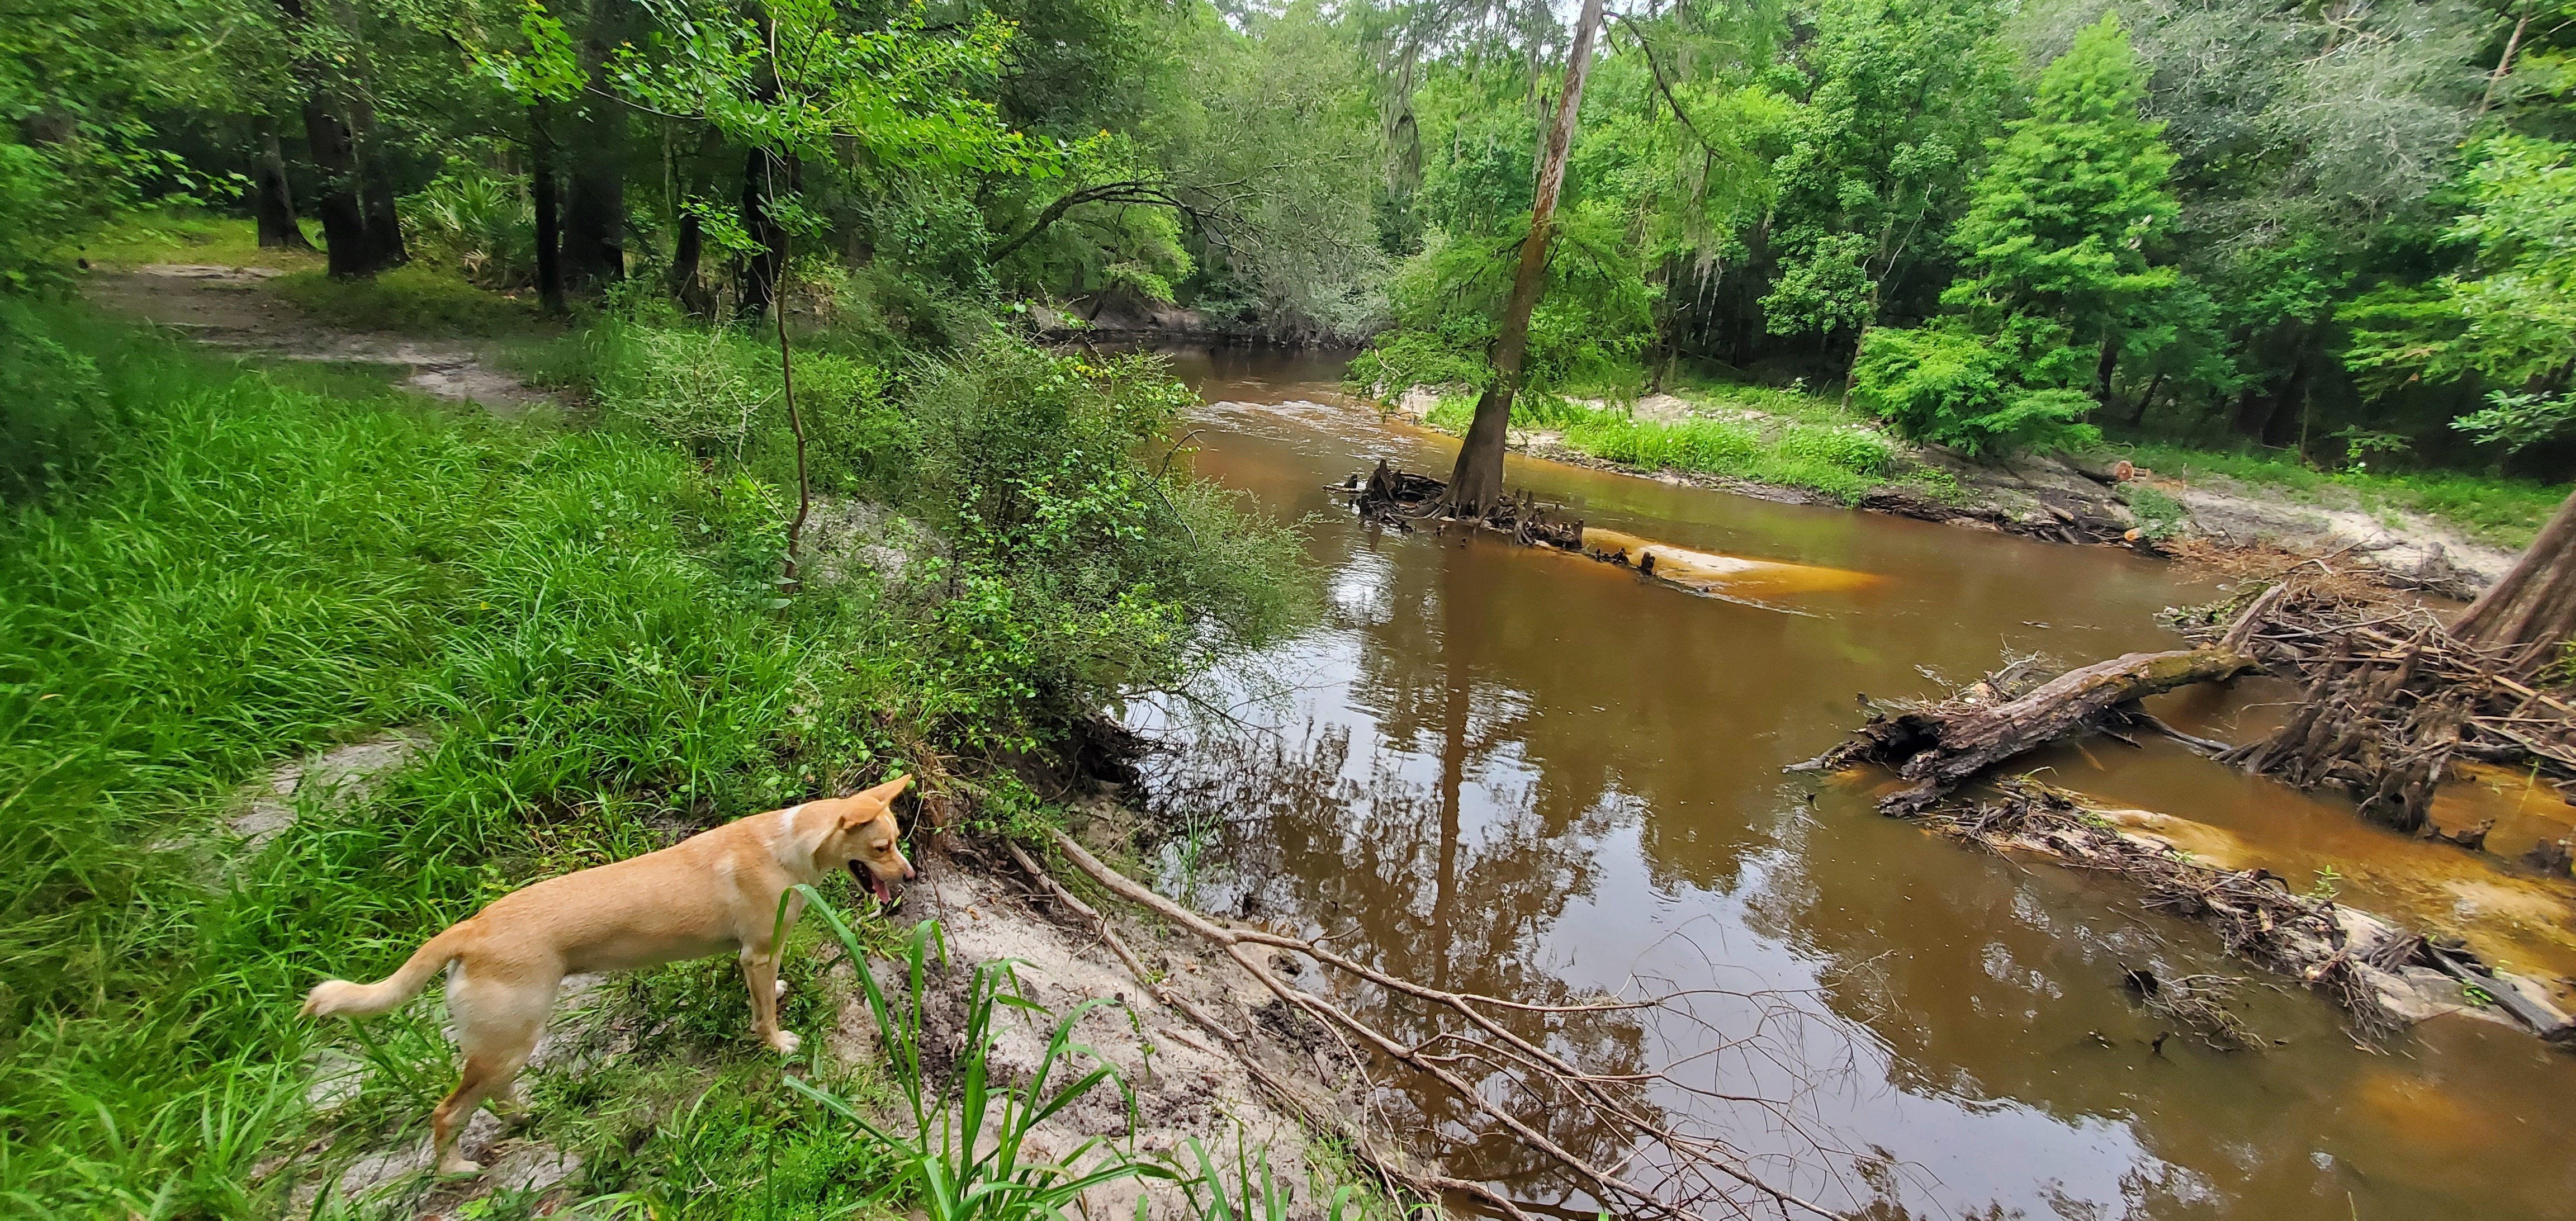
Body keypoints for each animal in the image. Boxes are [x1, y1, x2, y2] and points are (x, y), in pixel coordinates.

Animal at [301, 778, 917, 1169]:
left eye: (898, 842)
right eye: (882, 846)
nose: (911, 876)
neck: (786, 845)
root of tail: (471, 929)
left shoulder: (761, 957)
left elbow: (764, 993)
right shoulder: (757, 954)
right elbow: (763, 1013)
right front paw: (776, 1042)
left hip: (506, 1045)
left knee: (494, 1093)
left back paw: (524, 1118)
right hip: (509, 1039)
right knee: (447, 1112)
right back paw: (454, 1169)